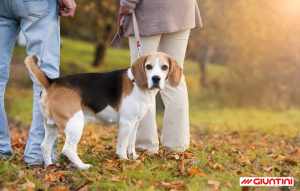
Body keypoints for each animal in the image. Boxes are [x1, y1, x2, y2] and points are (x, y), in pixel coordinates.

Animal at [24, 51, 183, 169]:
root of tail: (51, 82)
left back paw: (49, 166)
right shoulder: (126, 123)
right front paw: (123, 160)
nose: (156, 78)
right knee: (68, 149)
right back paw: (83, 166)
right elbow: (122, 145)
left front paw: (134, 157)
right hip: (75, 123)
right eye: (148, 66)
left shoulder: (135, 122)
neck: (138, 85)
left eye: (164, 67)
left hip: (52, 126)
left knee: (45, 146)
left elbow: (131, 143)